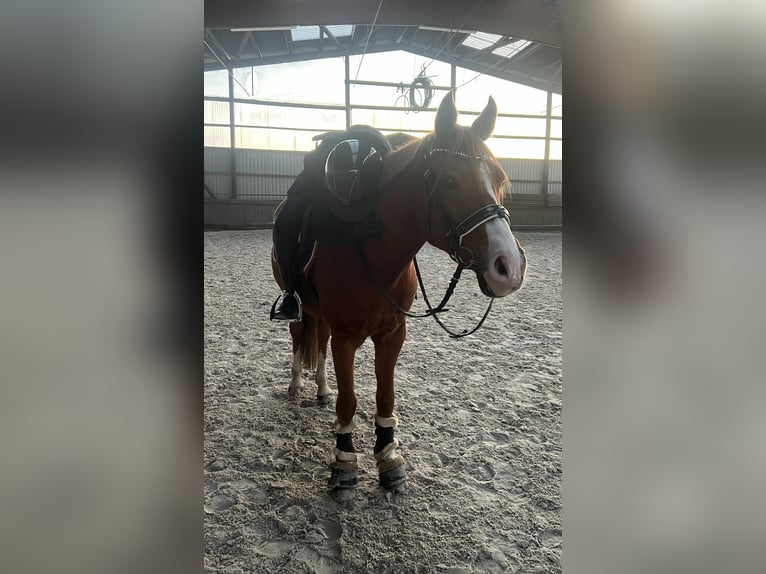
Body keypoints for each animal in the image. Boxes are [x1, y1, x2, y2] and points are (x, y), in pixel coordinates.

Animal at [271, 92, 527, 496]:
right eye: (450, 180)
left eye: (500, 179)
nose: (510, 267)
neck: (372, 248)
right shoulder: (347, 337)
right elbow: (349, 400)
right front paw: (344, 465)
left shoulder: (393, 334)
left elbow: (384, 395)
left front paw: (388, 459)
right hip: (296, 303)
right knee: (299, 336)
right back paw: (297, 384)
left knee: (318, 340)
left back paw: (321, 388)